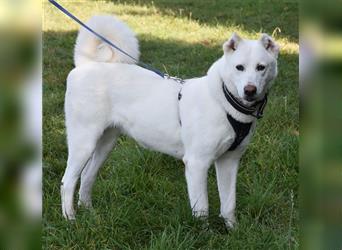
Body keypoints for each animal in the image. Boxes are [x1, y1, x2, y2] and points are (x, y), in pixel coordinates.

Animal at [60, 14, 280, 228]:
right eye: (239, 67)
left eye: (261, 67)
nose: (250, 90)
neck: (224, 101)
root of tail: (86, 64)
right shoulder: (197, 163)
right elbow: (202, 209)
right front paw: (204, 233)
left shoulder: (229, 161)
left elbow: (229, 204)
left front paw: (232, 230)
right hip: (83, 143)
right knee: (68, 181)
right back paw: (70, 219)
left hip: (105, 144)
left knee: (87, 176)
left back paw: (90, 213)